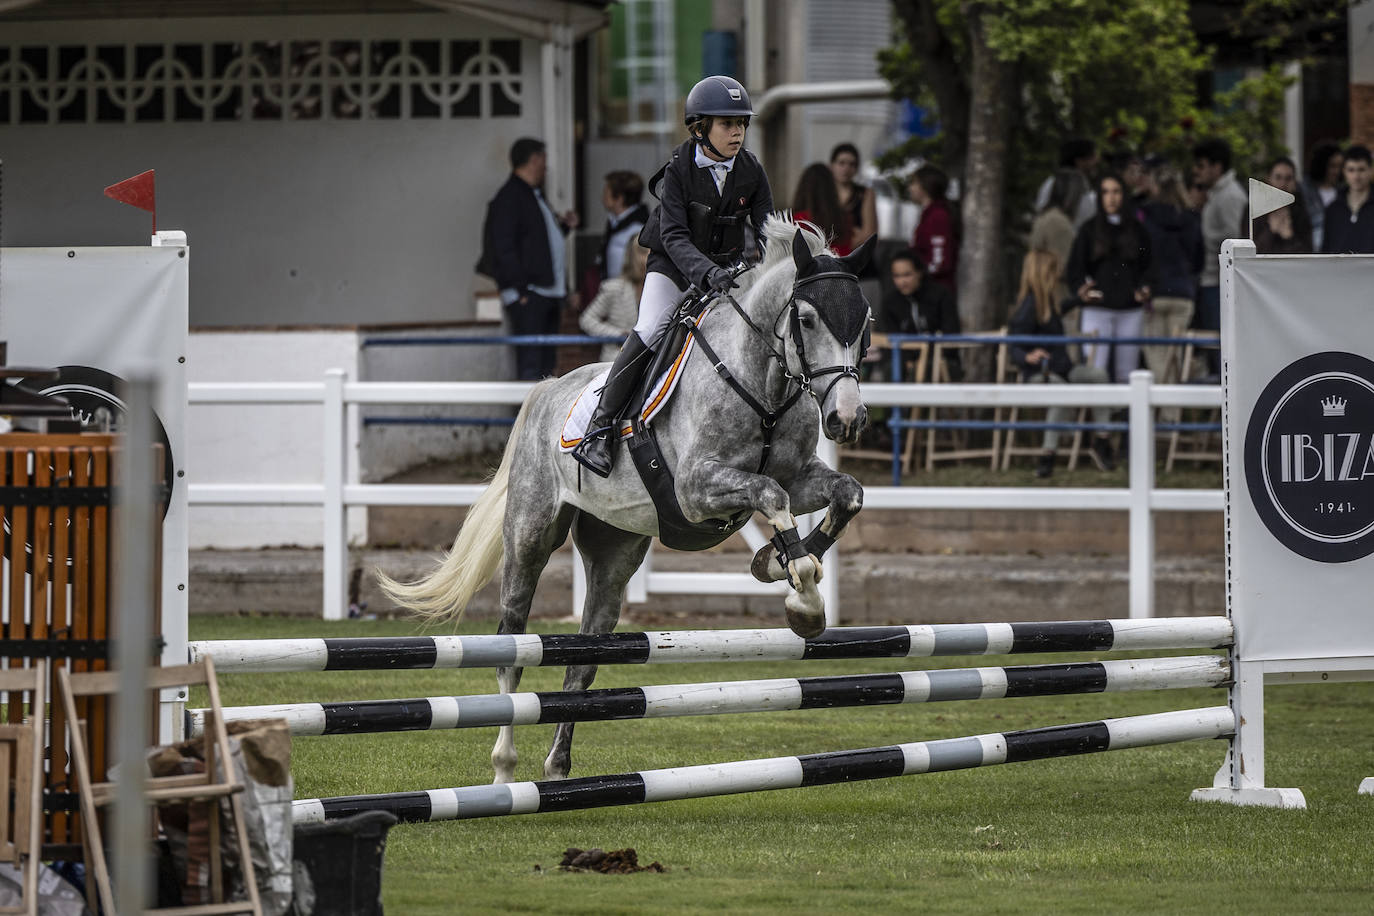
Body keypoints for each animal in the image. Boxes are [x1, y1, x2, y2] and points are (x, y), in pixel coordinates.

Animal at [376, 216, 868, 780]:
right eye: (806, 319)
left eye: (865, 322)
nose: (847, 419)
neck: (762, 383)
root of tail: (547, 389)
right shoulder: (695, 490)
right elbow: (770, 493)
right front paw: (802, 593)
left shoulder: (802, 477)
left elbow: (845, 494)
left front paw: (777, 564)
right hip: (530, 535)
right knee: (512, 648)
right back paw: (504, 767)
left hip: (614, 552)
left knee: (581, 664)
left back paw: (557, 769)